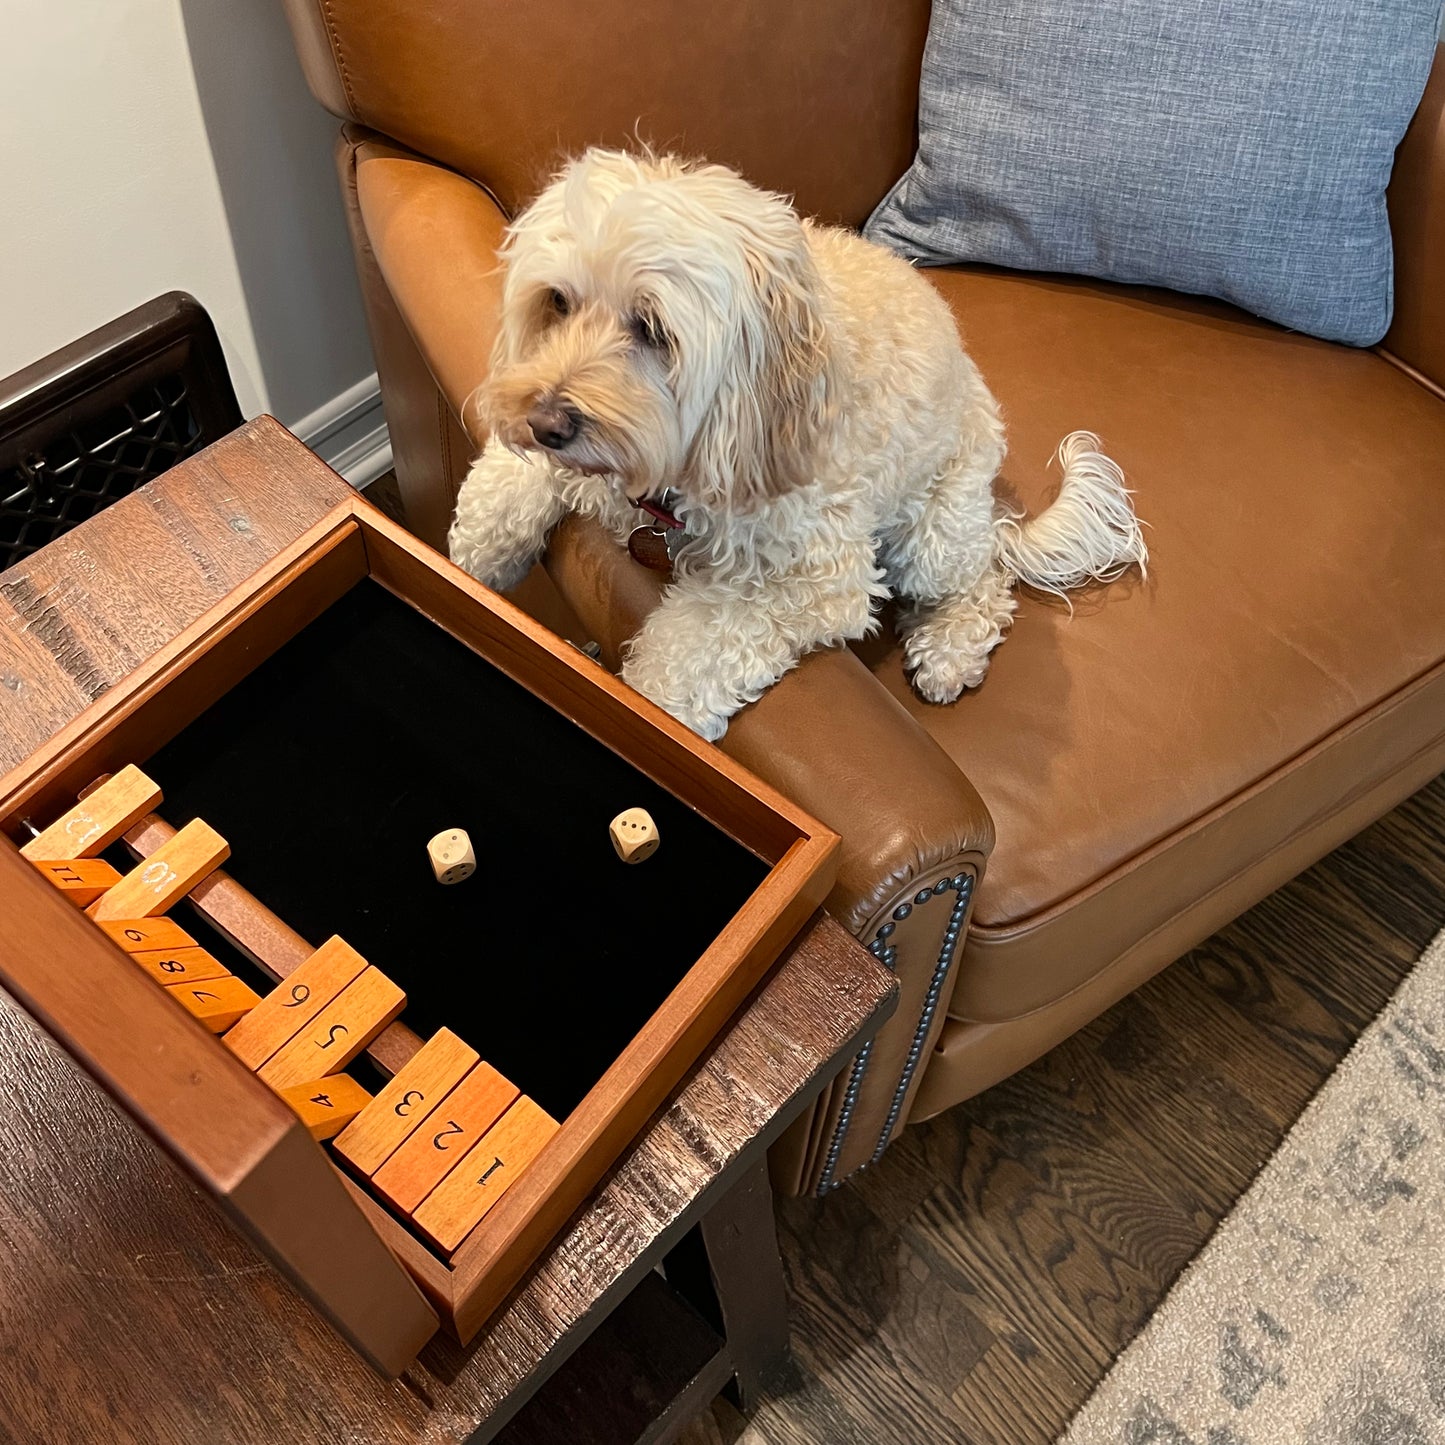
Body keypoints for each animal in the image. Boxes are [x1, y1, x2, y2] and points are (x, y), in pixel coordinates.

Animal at [450, 148, 1150, 739]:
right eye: (557, 302)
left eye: (652, 329)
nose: (545, 423)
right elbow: (503, 494)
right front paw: (472, 562)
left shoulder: (815, 578)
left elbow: (683, 658)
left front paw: (649, 712)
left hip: (934, 530)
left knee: (984, 579)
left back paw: (947, 651)